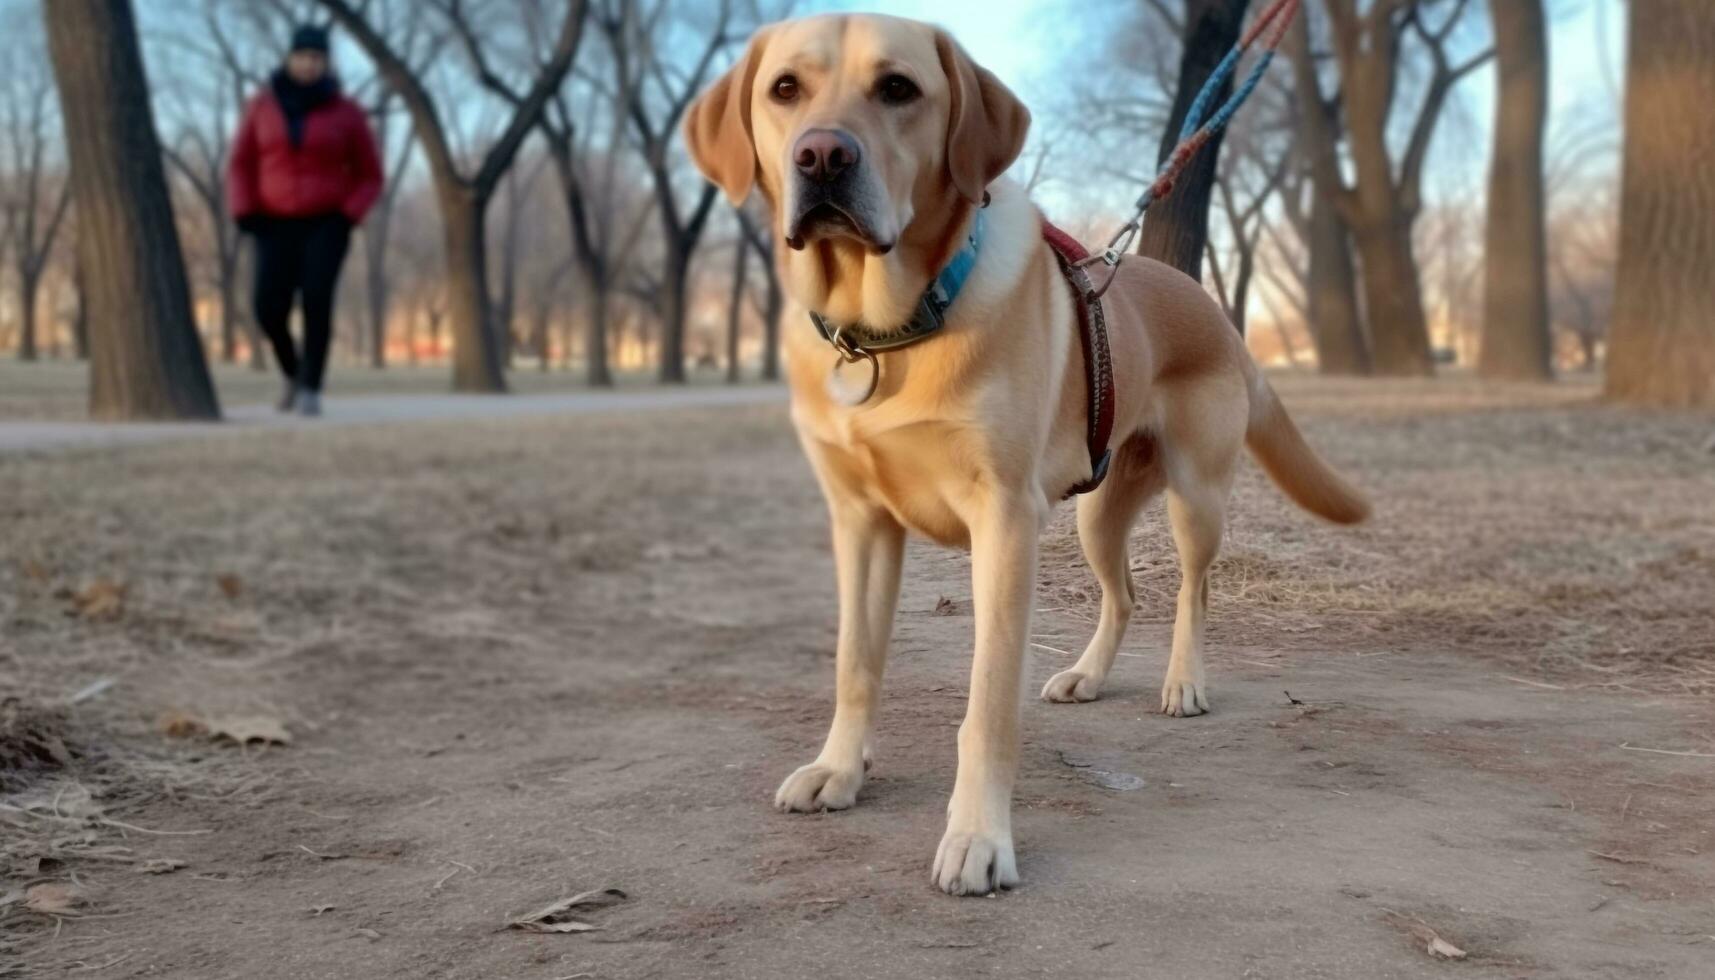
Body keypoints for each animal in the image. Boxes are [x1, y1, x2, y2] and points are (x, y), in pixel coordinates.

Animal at [682, 13, 1365, 899]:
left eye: (897, 88)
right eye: (784, 89)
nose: (822, 156)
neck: (892, 328)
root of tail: (1215, 309)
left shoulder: (1001, 525)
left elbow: (986, 704)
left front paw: (977, 837)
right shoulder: (861, 524)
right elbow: (853, 663)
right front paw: (839, 769)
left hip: (1194, 499)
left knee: (1193, 591)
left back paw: (1183, 681)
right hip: (1095, 515)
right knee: (1124, 596)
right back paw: (1088, 675)